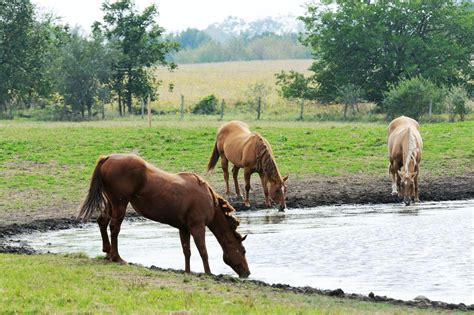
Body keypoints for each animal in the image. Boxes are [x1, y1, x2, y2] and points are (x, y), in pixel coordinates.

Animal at [77, 154, 252, 278]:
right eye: (243, 251)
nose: (248, 273)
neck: (209, 199)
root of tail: (108, 158)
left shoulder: (184, 228)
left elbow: (187, 251)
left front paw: (188, 271)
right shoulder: (197, 226)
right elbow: (203, 250)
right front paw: (208, 273)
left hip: (110, 203)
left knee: (103, 221)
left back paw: (107, 252)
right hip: (120, 203)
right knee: (114, 227)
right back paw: (117, 257)